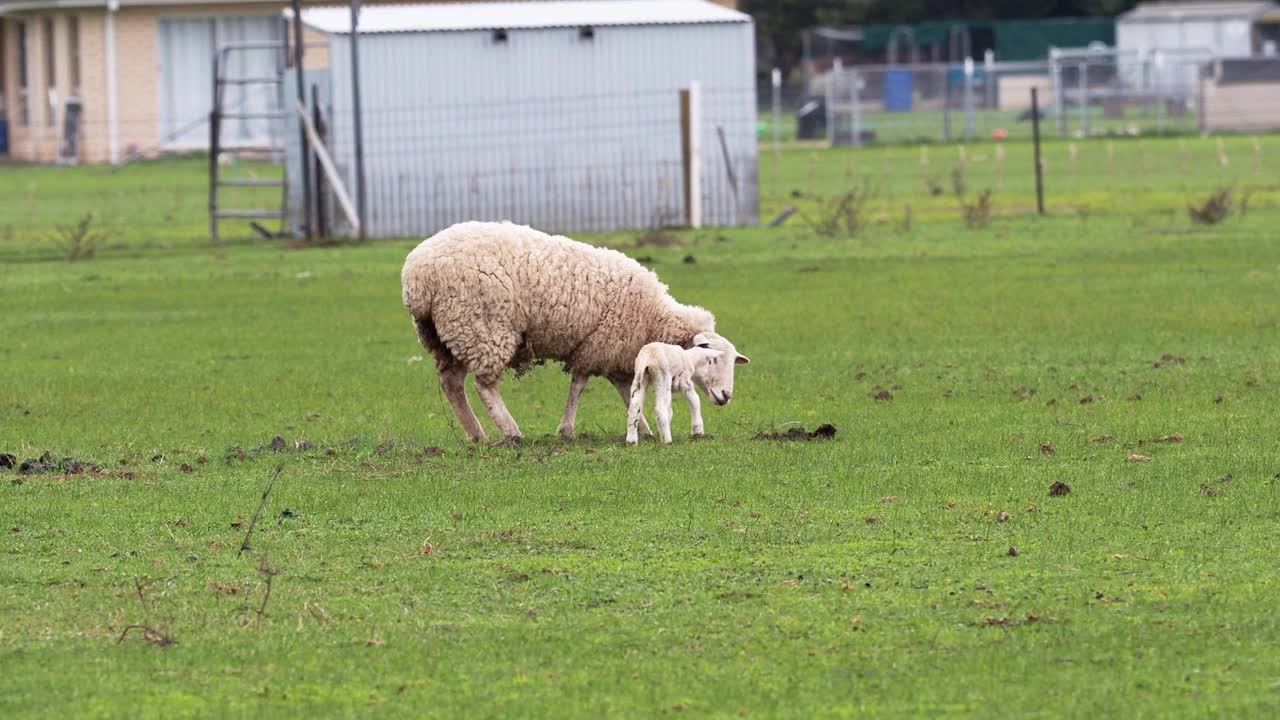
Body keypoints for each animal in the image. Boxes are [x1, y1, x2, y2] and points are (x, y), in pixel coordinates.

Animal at [394, 221, 747, 440]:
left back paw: (477, 434)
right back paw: (510, 432)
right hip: (483, 326)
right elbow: (578, 386)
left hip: (443, 335)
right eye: (712, 359)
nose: (727, 396)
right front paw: (565, 430)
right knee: (484, 385)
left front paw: (642, 429)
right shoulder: (597, 346)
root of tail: (416, 277)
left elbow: (626, 393)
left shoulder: (616, 354)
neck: (653, 317)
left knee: (452, 384)